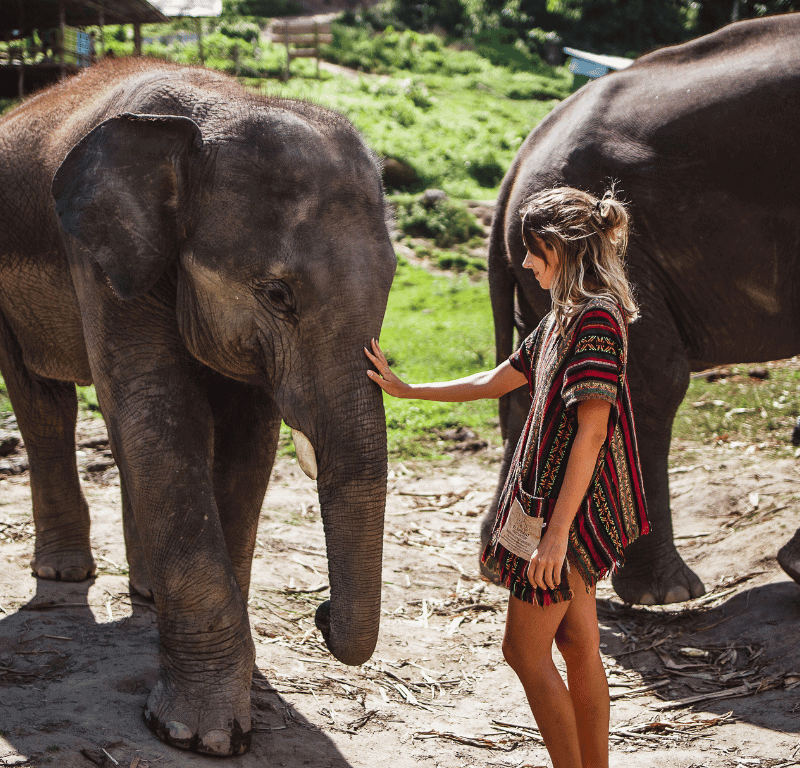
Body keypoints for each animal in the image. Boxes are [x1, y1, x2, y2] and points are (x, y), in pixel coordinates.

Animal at [0, 60, 396, 756]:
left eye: (394, 283)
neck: (220, 106)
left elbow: (246, 439)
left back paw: (145, 590)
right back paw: (65, 573)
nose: (320, 613)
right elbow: (162, 410)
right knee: (44, 402)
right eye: (278, 294)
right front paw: (200, 735)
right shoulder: (101, 259)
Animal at [484, 13, 800, 608]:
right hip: (631, 255)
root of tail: (519, 160)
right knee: (651, 379)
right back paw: (665, 592)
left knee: (530, 385)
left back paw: (500, 568)